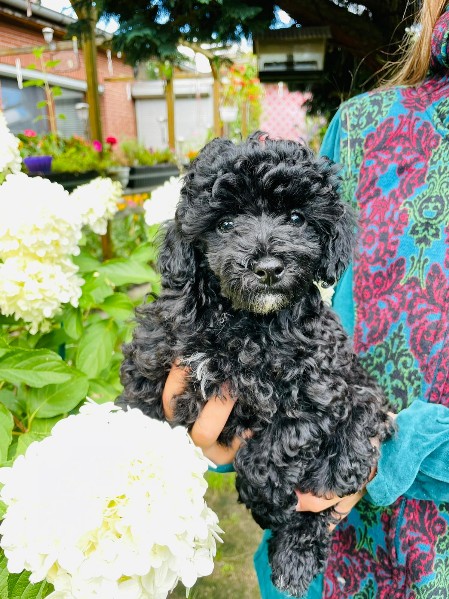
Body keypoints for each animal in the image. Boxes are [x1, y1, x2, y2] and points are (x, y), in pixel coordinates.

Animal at [119, 134, 393, 597]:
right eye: (226, 223)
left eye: (296, 218)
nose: (267, 267)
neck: (245, 323)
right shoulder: (154, 357)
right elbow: (133, 419)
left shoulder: (321, 388)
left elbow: (273, 447)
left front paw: (268, 500)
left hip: (361, 400)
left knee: (343, 460)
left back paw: (294, 557)